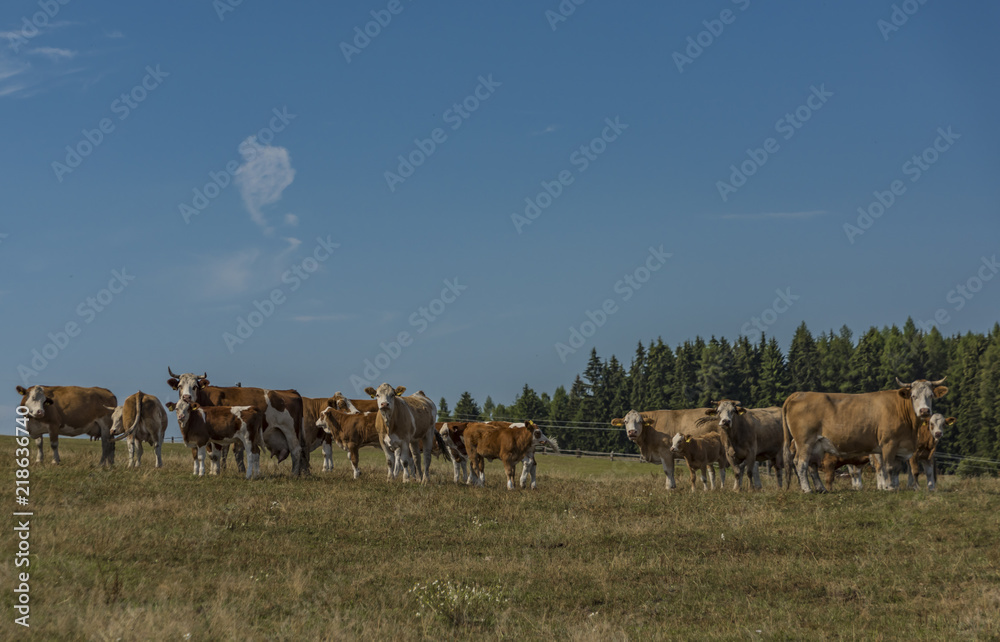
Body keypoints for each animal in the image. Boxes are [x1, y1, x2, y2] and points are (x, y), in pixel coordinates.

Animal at [167, 368, 307, 476]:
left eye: (195, 386)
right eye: (179, 386)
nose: (186, 397)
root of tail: (290, 391)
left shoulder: (217, 433)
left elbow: (216, 454)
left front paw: (215, 472)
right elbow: (211, 454)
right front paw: (212, 471)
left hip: (291, 430)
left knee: (296, 450)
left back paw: (294, 474)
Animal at [783, 377, 948, 492]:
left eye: (931, 395)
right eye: (913, 396)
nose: (924, 411)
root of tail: (800, 393)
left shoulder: (900, 447)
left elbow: (896, 469)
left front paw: (895, 486)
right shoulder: (889, 443)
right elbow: (888, 467)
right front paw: (889, 488)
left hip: (817, 444)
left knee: (812, 465)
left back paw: (821, 488)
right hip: (804, 441)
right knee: (801, 463)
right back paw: (807, 489)